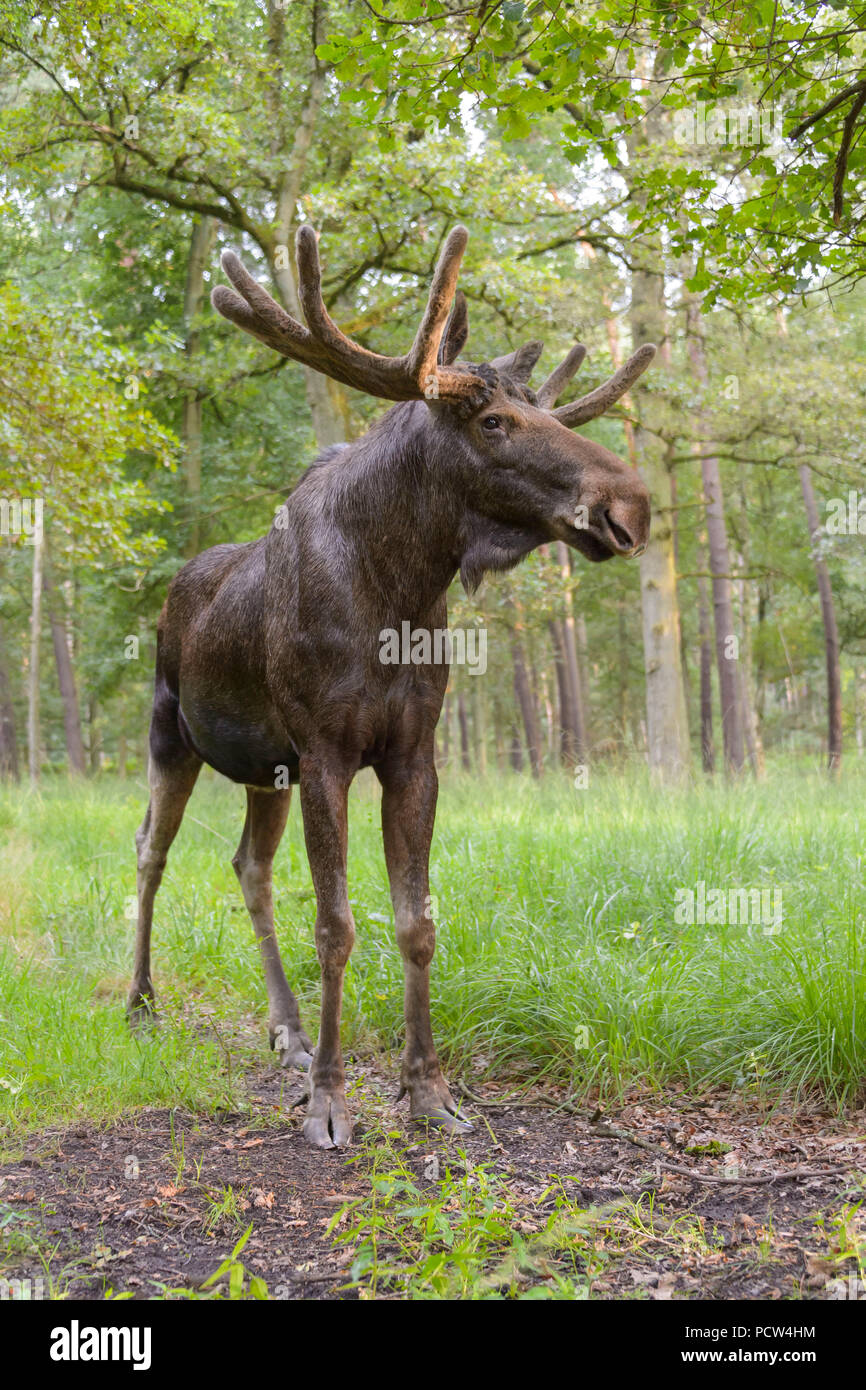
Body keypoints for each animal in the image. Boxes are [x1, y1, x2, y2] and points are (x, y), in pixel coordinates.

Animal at [128, 222, 653, 1145]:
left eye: (546, 408)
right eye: (494, 420)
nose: (631, 506)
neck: (398, 591)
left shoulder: (413, 751)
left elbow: (417, 922)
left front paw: (428, 1091)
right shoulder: (326, 751)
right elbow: (336, 924)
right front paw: (331, 1104)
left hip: (264, 765)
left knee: (249, 868)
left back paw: (289, 1031)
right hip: (172, 733)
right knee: (150, 851)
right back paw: (139, 1002)